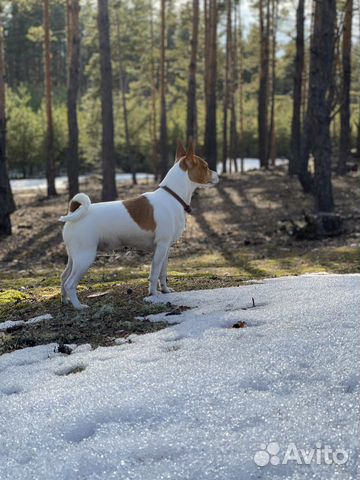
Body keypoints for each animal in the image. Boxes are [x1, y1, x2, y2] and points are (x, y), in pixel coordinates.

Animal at [58, 141, 219, 310]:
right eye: (206, 166)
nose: (217, 174)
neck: (172, 196)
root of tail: (75, 212)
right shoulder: (161, 246)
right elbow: (154, 274)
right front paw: (153, 294)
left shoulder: (166, 248)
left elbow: (163, 273)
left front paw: (165, 290)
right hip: (85, 257)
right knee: (69, 283)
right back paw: (78, 306)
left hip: (74, 257)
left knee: (63, 277)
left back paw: (65, 300)